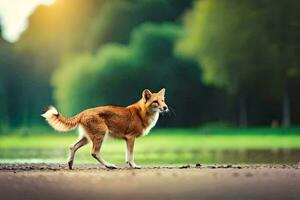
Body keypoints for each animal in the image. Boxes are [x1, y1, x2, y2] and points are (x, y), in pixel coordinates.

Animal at [41, 88, 169, 169]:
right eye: (155, 101)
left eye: (163, 100)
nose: (165, 107)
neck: (142, 112)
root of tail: (83, 112)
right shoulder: (131, 138)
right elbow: (131, 155)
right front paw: (134, 166)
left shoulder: (127, 140)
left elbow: (127, 155)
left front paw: (129, 164)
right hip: (101, 135)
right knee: (94, 153)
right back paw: (109, 165)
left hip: (87, 138)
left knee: (73, 146)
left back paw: (70, 164)